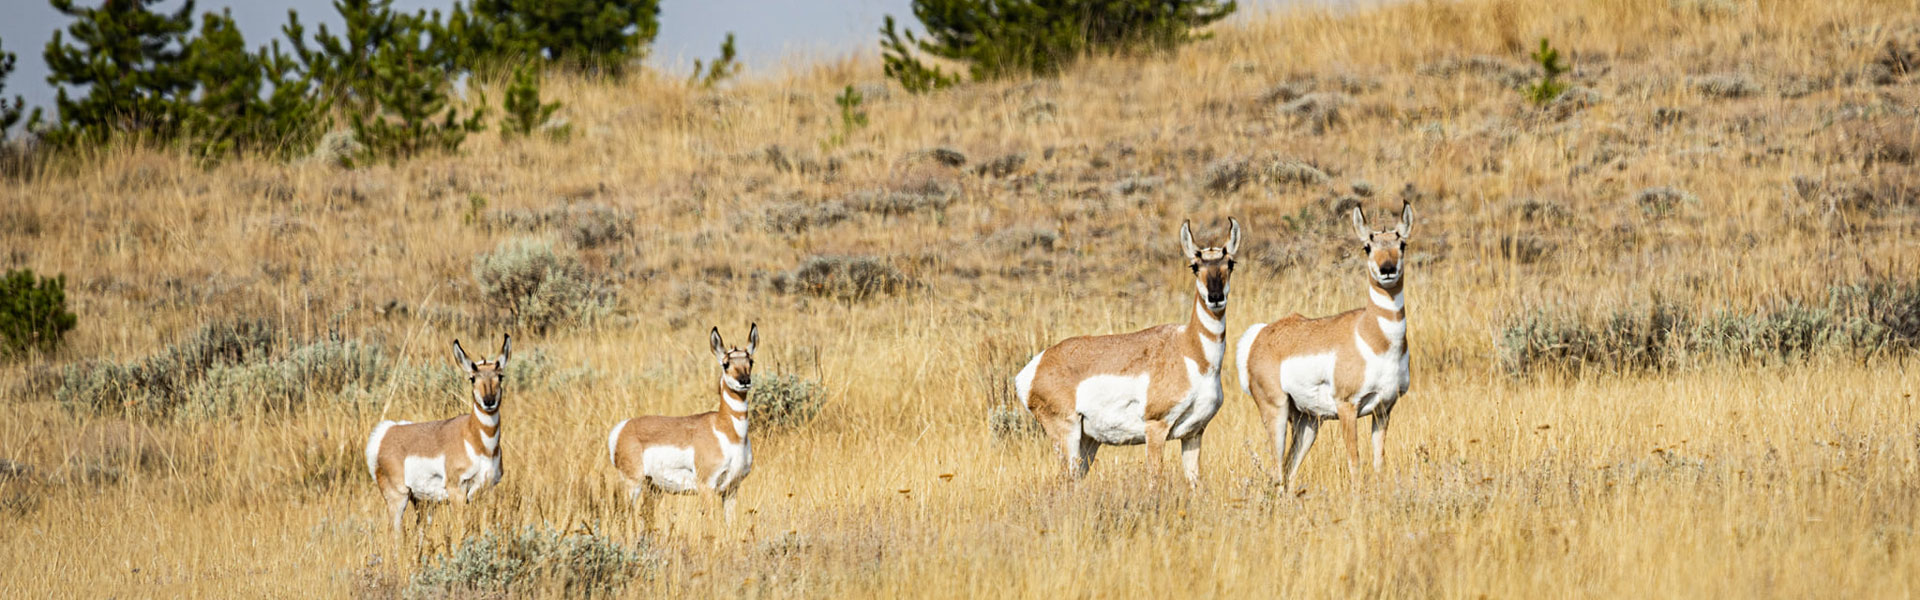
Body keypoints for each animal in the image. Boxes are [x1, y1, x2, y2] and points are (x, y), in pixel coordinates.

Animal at [364, 334, 510, 530]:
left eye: (500, 376)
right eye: (472, 378)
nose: (489, 401)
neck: (479, 443)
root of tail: (386, 432)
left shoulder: (486, 491)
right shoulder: (457, 492)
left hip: (423, 503)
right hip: (398, 497)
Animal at [614, 325, 764, 526]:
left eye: (751, 361)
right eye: (725, 364)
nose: (744, 381)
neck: (728, 432)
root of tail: (623, 427)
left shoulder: (732, 489)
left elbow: (729, 524)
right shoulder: (707, 487)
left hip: (653, 488)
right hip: (633, 484)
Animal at [1013, 219, 1236, 488]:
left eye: (1230, 263)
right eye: (1195, 265)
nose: (1215, 297)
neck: (1191, 350)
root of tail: (1035, 366)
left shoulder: (1194, 434)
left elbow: (1195, 483)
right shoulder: (1156, 427)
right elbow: (1154, 479)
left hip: (1088, 441)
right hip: (1067, 434)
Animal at [1236, 201, 1420, 492]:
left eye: (1401, 243)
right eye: (1367, 246)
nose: (1387, 269)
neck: (1374, 338)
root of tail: (1261, 334)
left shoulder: (1383, 409)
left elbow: (1378, 463)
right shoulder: (1347, 406)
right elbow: (1355, 462)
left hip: (1308, 422)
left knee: (1289, 469)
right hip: (1275, 411)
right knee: (1277, 469)